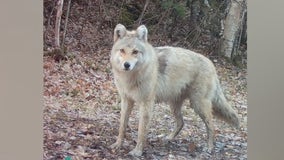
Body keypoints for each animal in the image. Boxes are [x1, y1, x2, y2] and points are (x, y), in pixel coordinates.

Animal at [108, 23, 240, 156]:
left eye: (135, 52)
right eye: (122, 50)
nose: (126, 65)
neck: (130, 78)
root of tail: (211, 63)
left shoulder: (146, 103)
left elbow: (141, 131)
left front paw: (137, 151)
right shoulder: (126, 100)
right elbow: (122, 126)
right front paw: (118, 145)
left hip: (198, 105)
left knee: (212, 126)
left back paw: (209, 148)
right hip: (174, 105)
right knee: (181, 122)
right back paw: (168, 138)